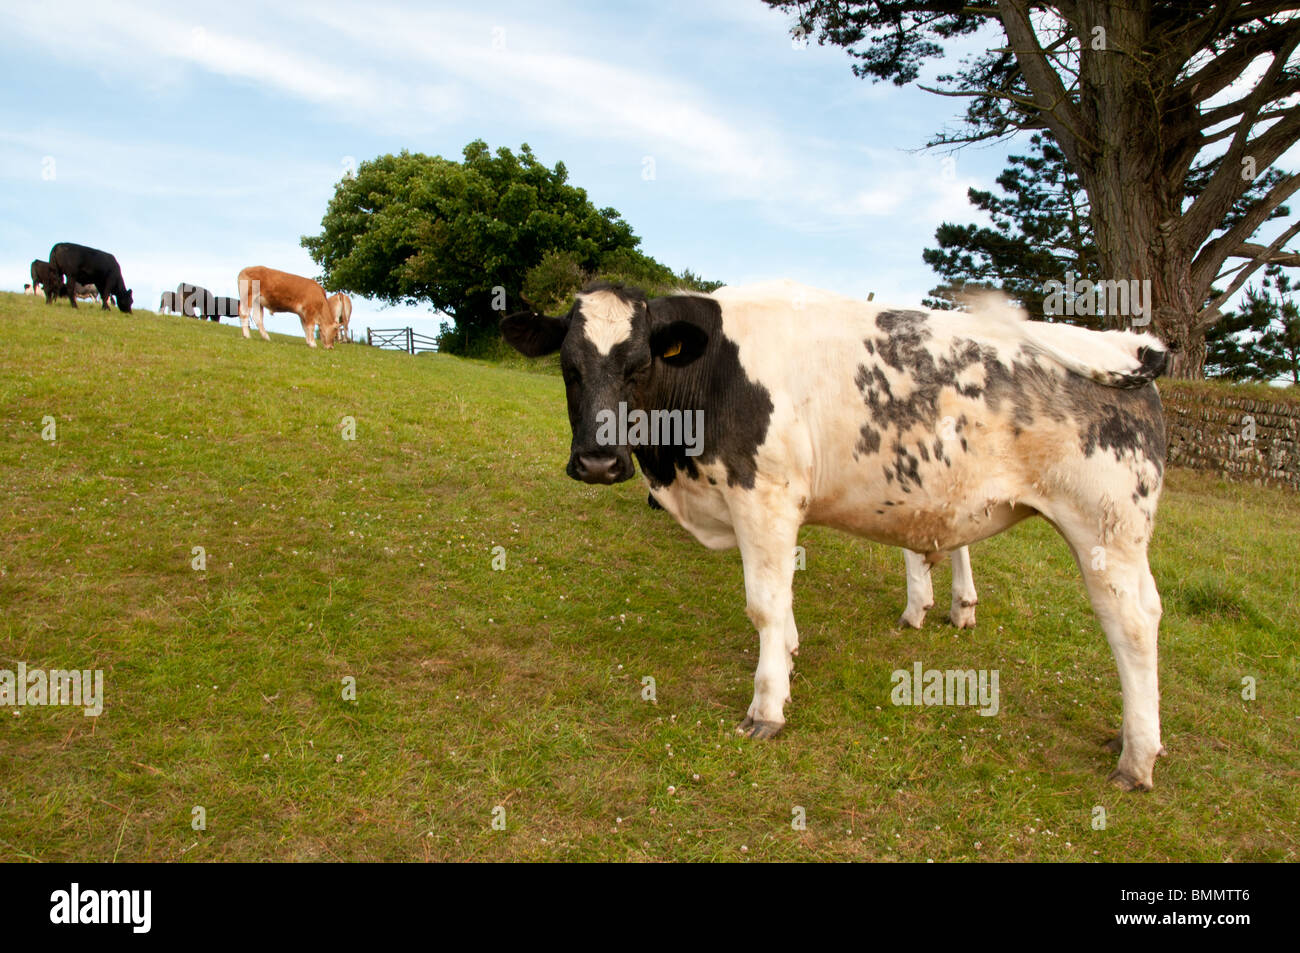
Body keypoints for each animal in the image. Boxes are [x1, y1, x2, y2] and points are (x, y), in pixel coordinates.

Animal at [501, 280, 1171, 790]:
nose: (597, 462)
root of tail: (1124, 343)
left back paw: (1136, 758)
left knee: (1133, 624)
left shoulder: (764, 497)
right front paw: (791, 654)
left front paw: (767, 707)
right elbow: (783, 603)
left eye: (639, 366)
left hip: (1107, 526)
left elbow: (765, 604)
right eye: (569, 369)